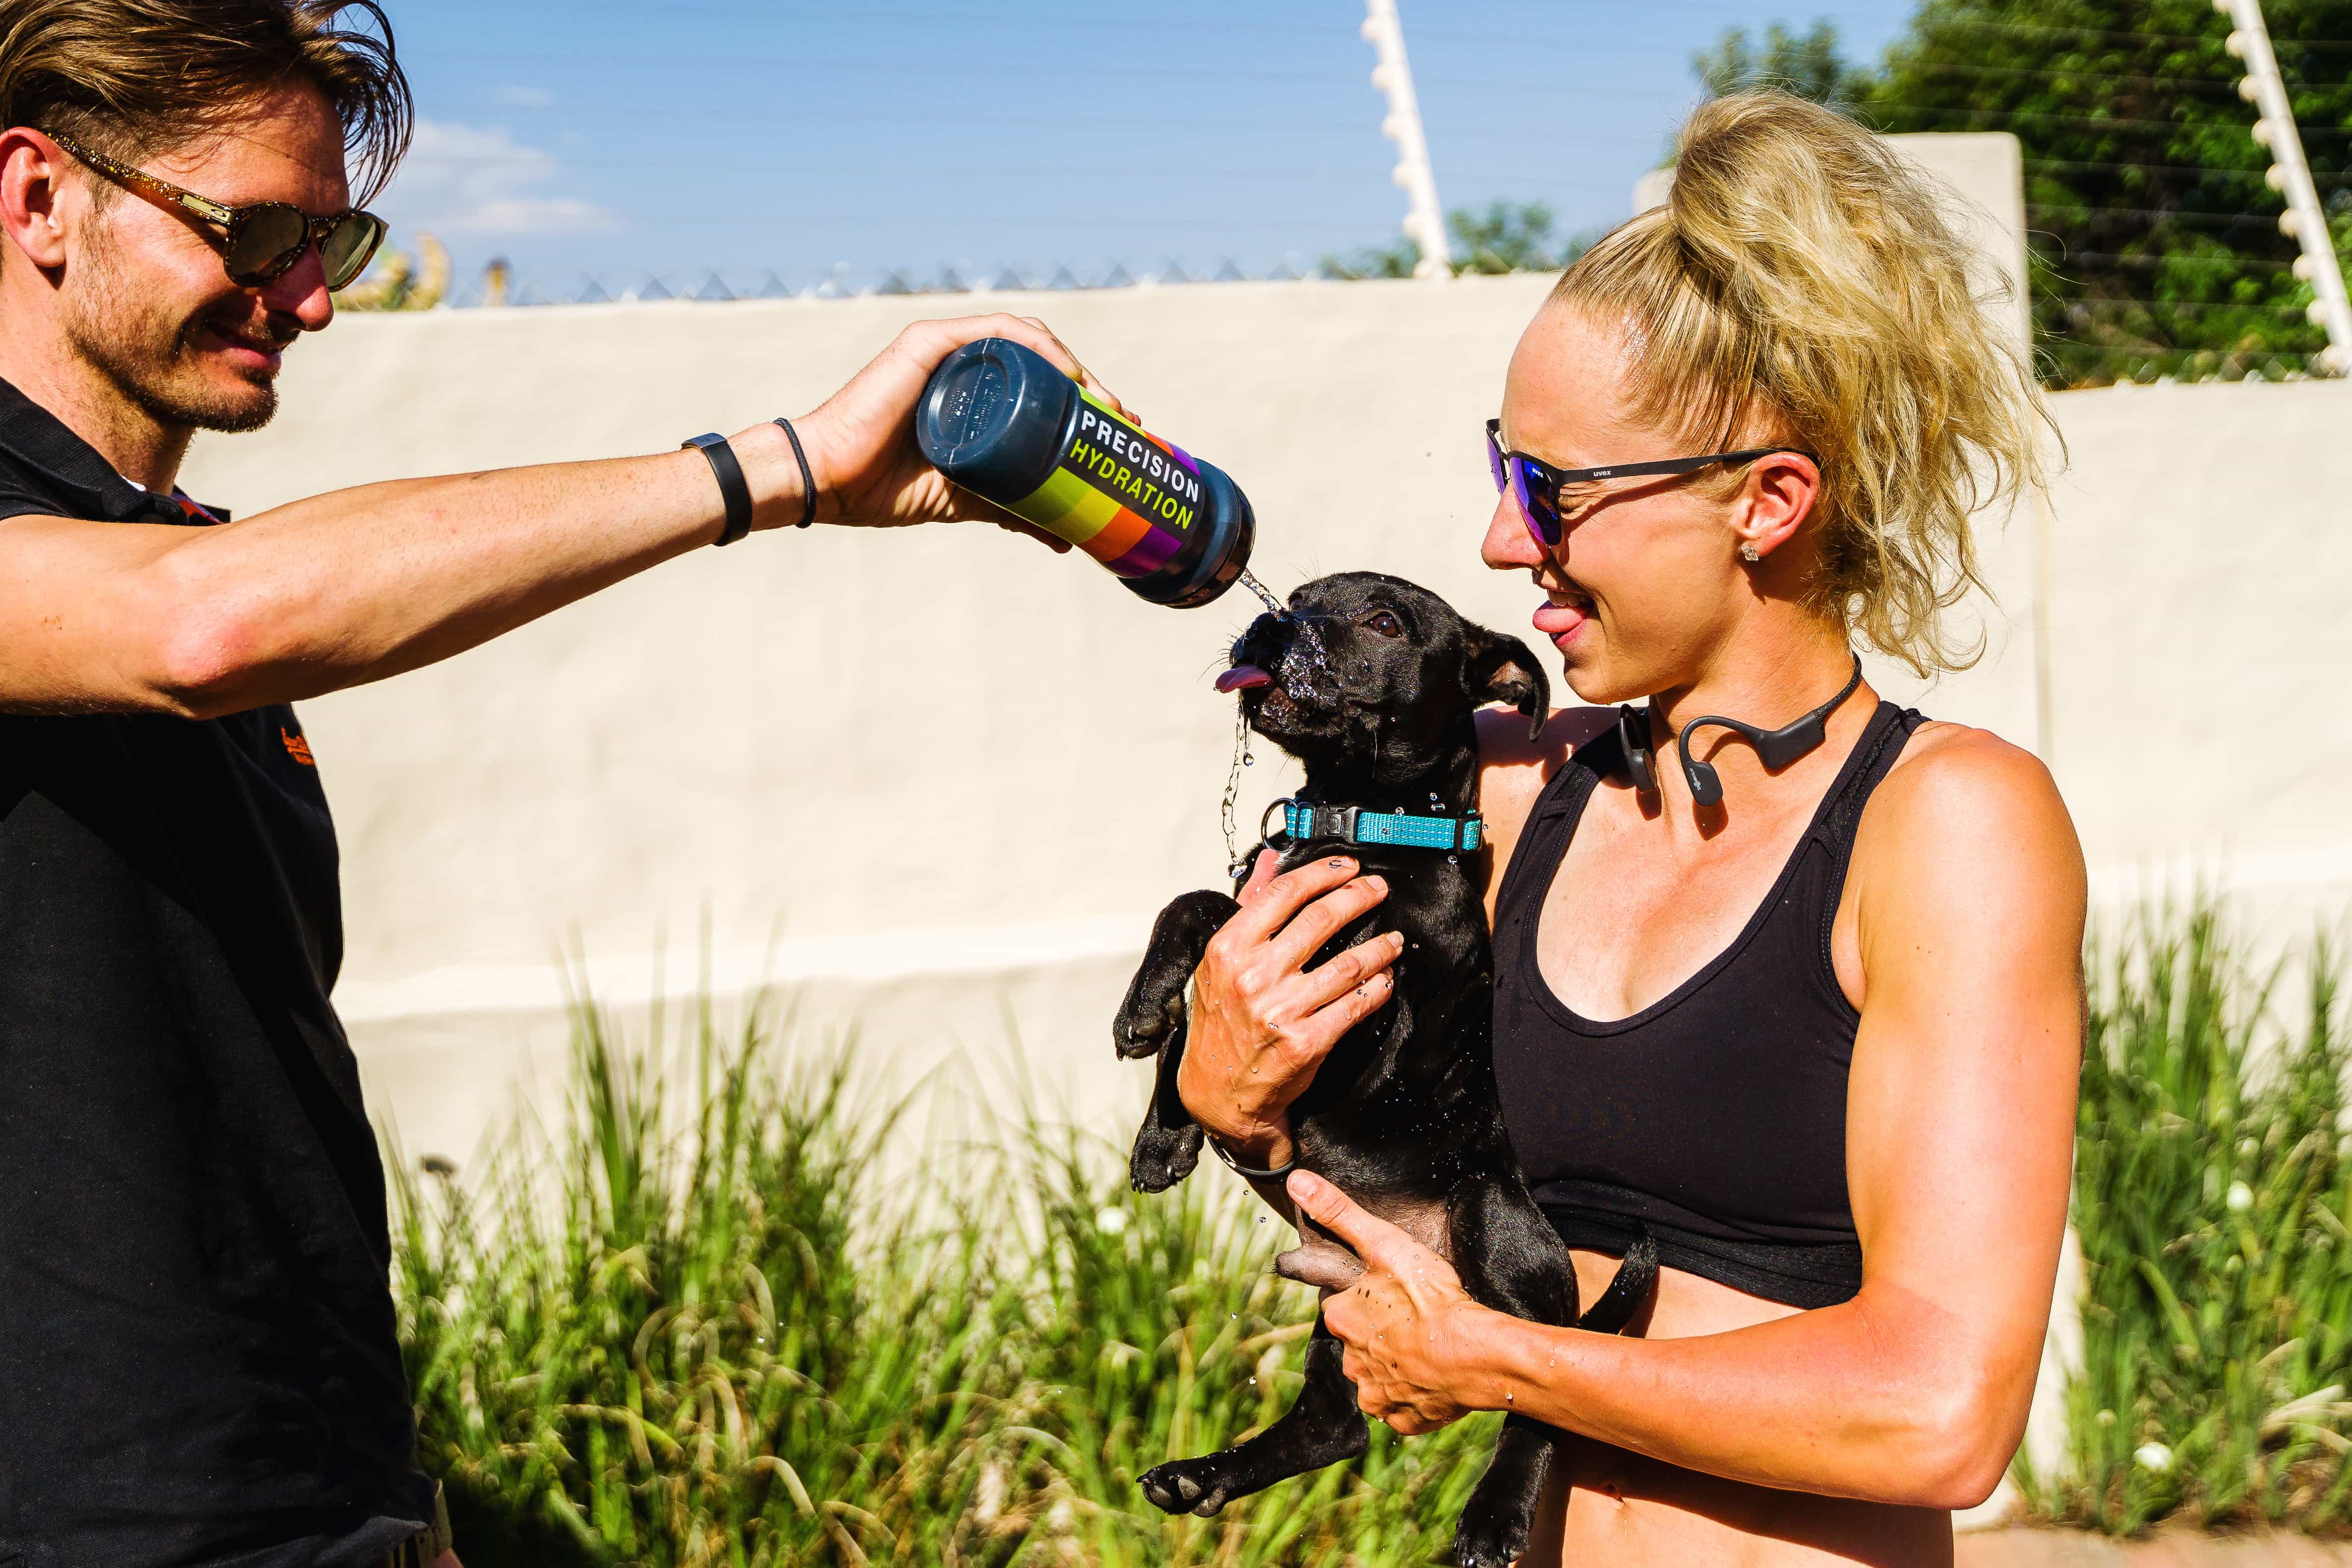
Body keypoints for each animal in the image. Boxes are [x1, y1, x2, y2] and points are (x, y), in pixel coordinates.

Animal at [1105, 571, 1646, 1561]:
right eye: (1296, 594)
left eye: (1384, 621)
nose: (1271, 624)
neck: (1358, 821)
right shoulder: (1263, 932)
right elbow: (1199, 921)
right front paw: (1159, 1109)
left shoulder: (1367, 1011)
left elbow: (1235, 917)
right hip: (1337, 1296)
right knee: (1337, 1424)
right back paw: (1202, 1474)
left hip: (1489, 1219)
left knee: (1547, 1376)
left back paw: (1492, 1513)